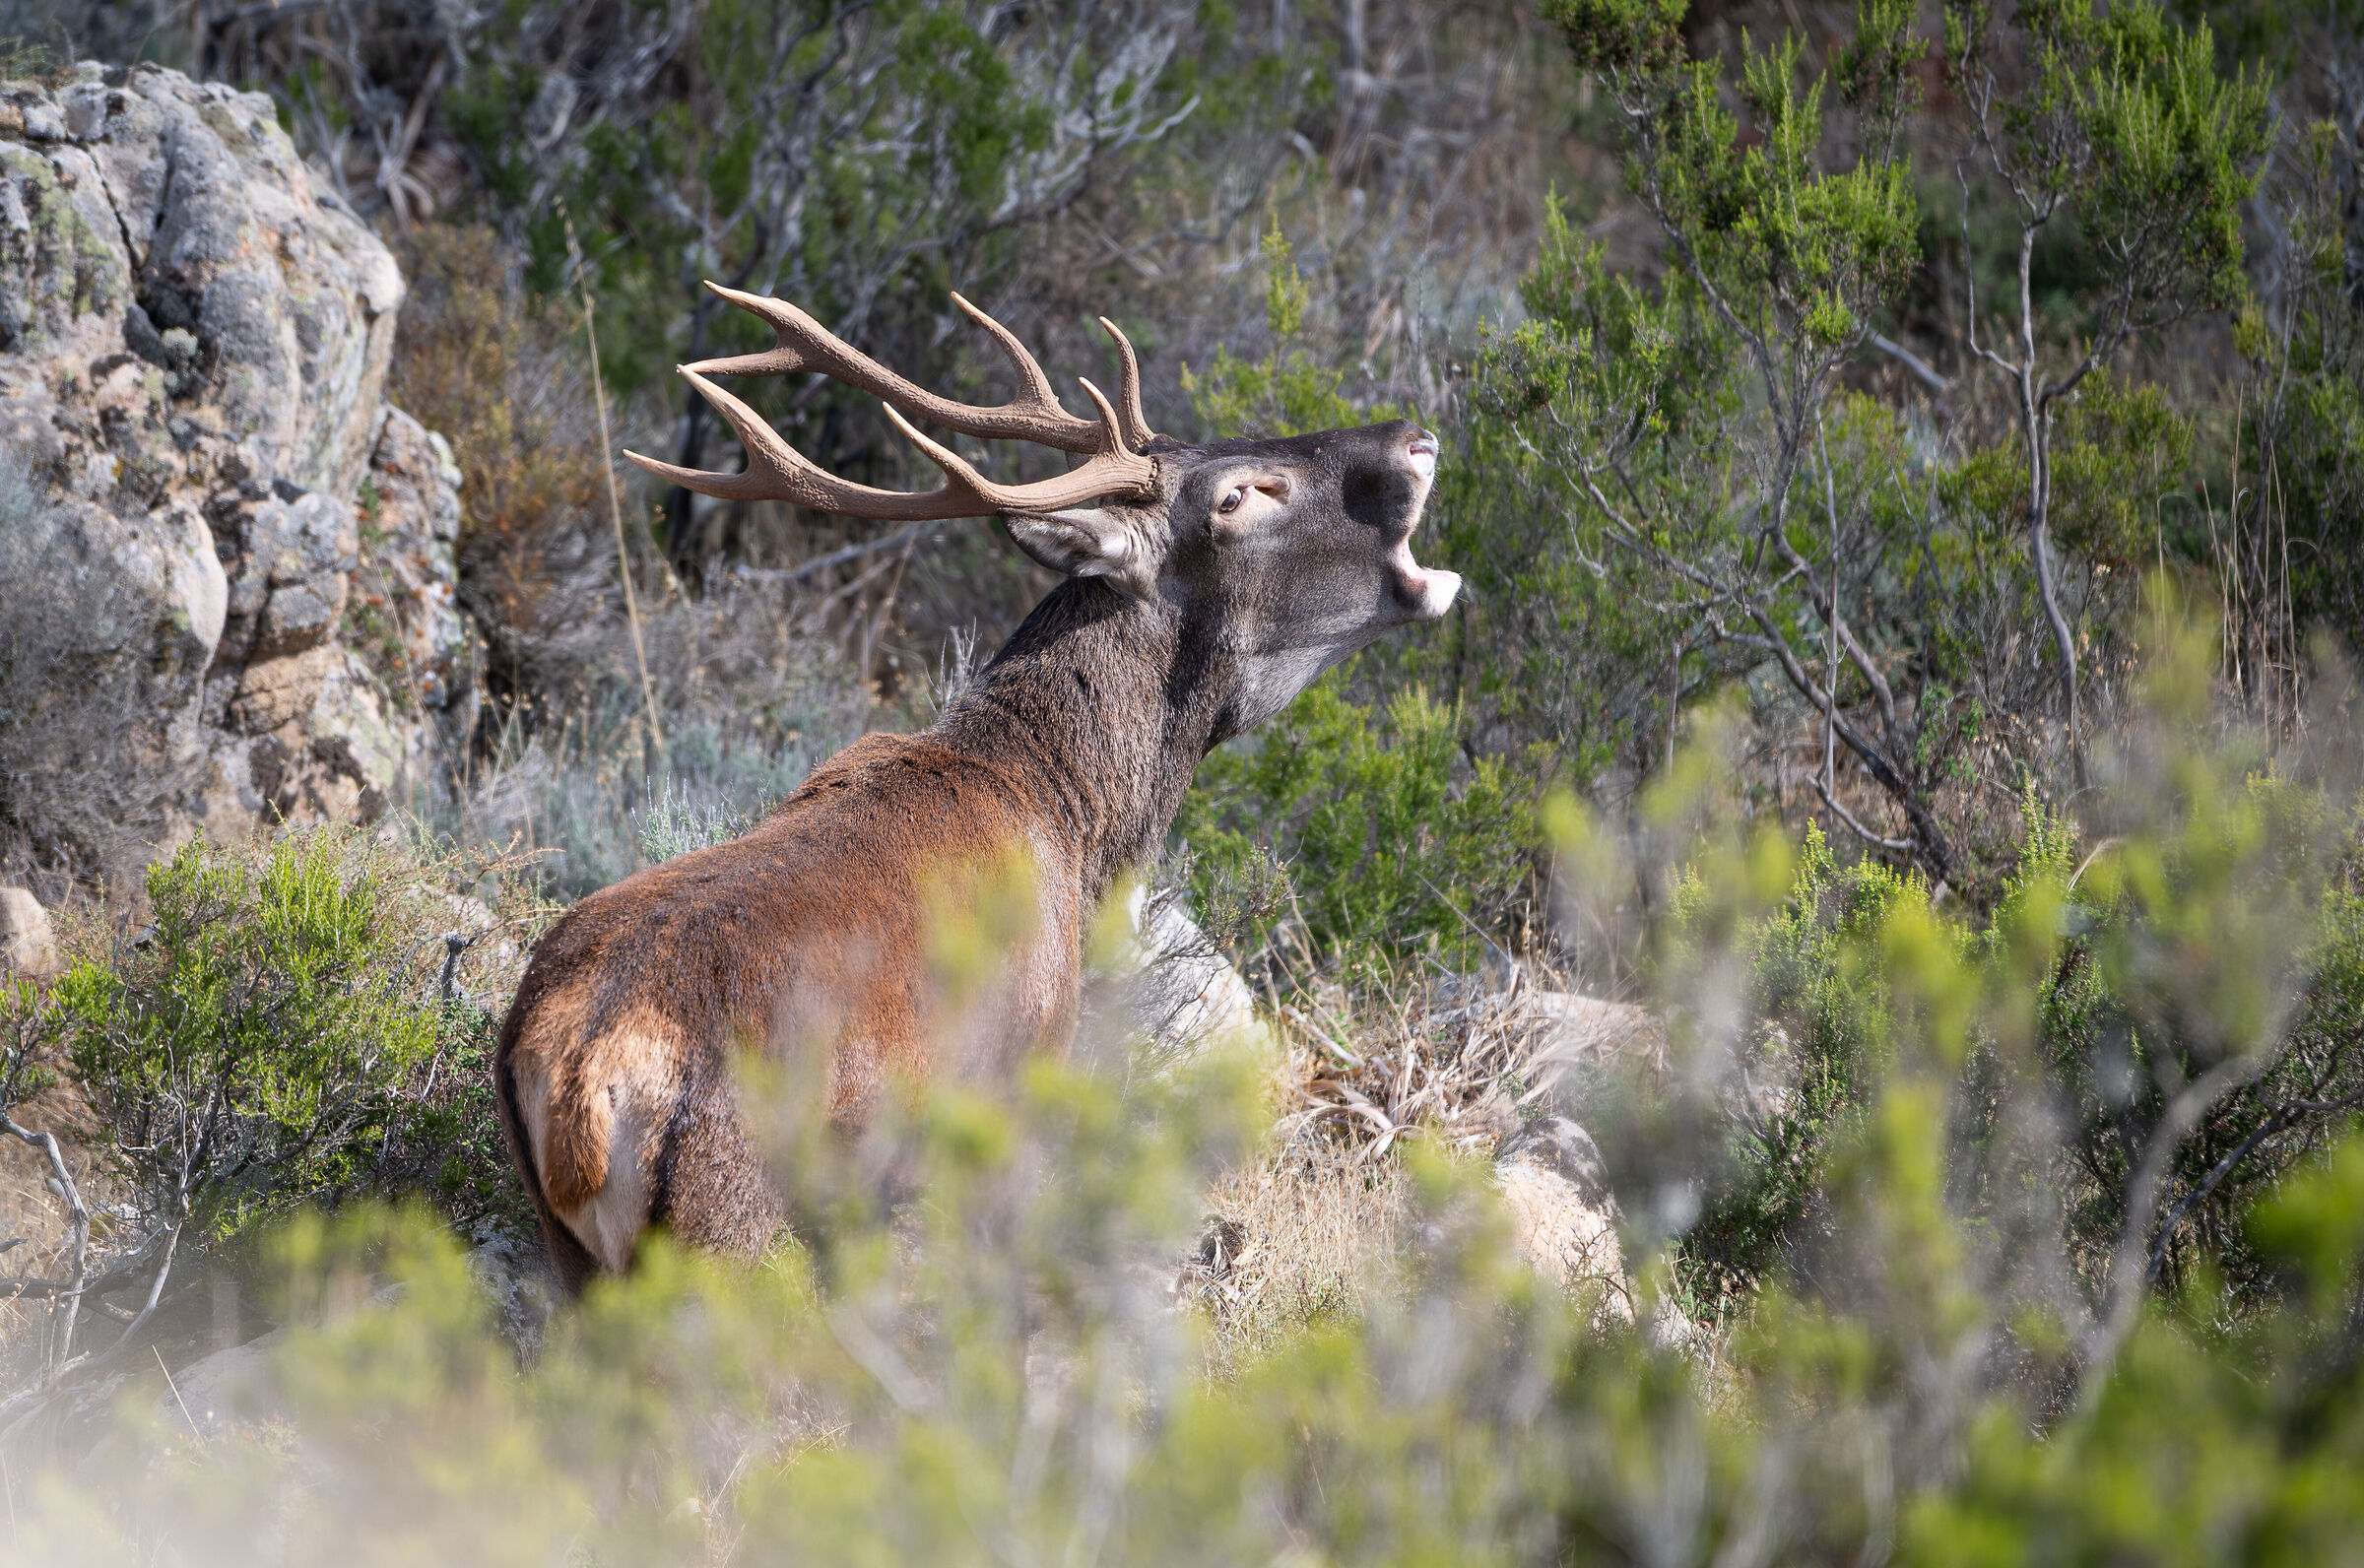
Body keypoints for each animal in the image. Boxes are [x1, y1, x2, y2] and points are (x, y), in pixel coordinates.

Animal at [494, 283, 1460, 1292]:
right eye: (1237, 495)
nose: (1416, 438)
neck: (1076, 825)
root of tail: (579, 1087)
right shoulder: (1016, 1079)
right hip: (727, 1225)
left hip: (570, 1252)